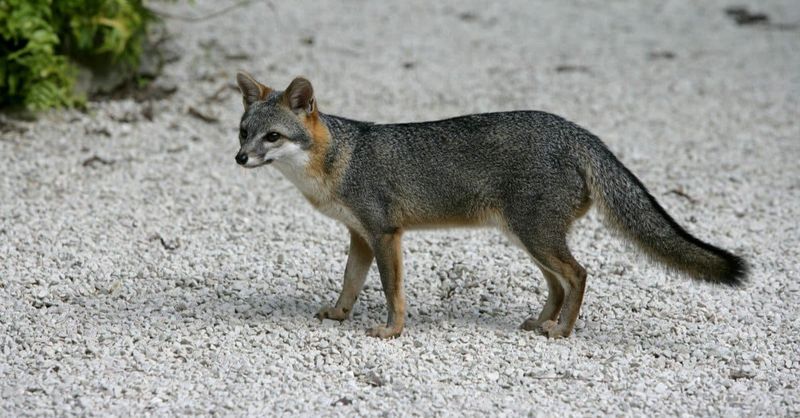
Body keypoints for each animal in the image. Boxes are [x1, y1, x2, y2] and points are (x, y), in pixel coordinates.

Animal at [233, 71, 746, 339]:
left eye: (271, 137)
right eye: (243, 132)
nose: (239, 158)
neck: (340, 158)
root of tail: (576, 131)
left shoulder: (385, 234)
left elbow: (391, 291)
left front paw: (392, 331)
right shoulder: (360, 236)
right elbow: (350, 283)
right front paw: (340, 315)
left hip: (536, 236)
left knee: (579, 274)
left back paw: (561, 330)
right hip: (528, 238)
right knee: (559, 283)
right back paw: (543, 320)